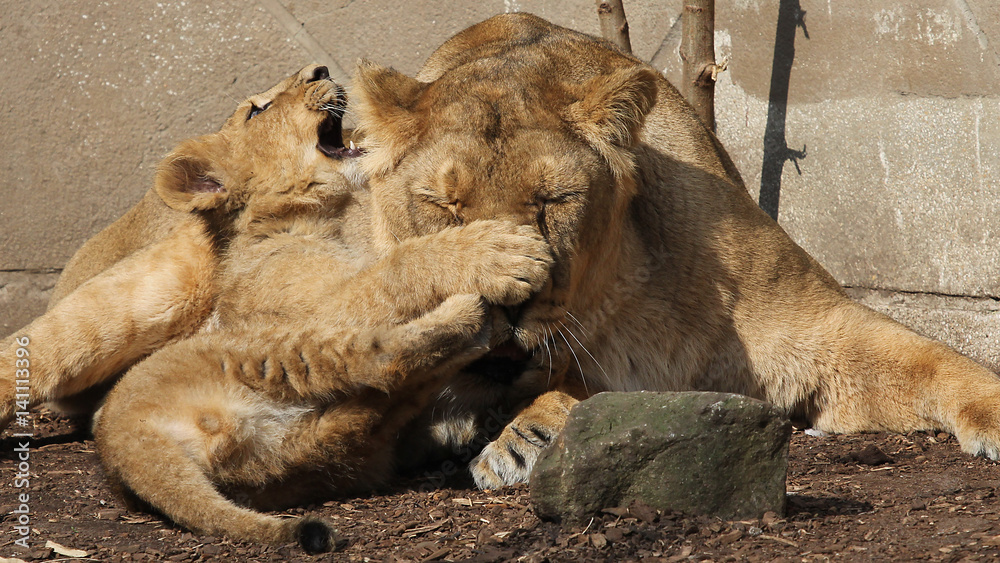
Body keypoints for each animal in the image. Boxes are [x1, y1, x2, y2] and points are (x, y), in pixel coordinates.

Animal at [3, 64, 554, 550]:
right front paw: (498, 252)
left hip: (307, 448)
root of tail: (123, 443)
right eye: (257, 109)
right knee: (376, 360)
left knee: (365, 418)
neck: (323, 218)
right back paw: (474, 324)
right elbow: (395, 268)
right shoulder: (320, 305)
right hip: (223, 336)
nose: (321, 70)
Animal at [350, 13, 1000, 489]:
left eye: (554, 199)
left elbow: (936, 360)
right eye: (444, 206)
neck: (621, 301)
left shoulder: (809, 326)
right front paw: (518, 436)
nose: (507, 304)